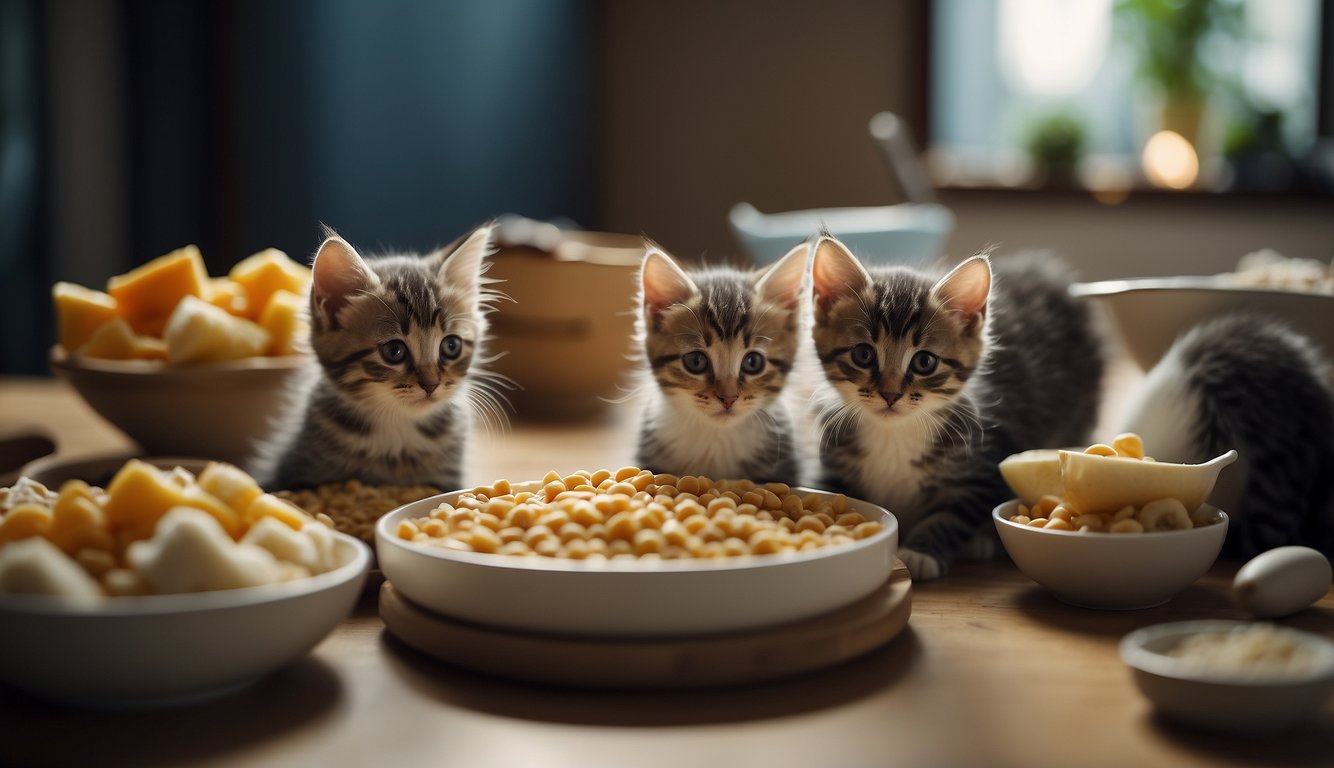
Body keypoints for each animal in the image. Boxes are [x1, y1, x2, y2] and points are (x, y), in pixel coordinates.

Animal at [811, 237, 1104, 578]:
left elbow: (952, 515)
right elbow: (833, 495)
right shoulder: (834, 460)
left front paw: (920, 552)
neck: (894, 433)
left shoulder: (984, 465)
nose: (890, 395)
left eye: (924, 362)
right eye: (863, 355)